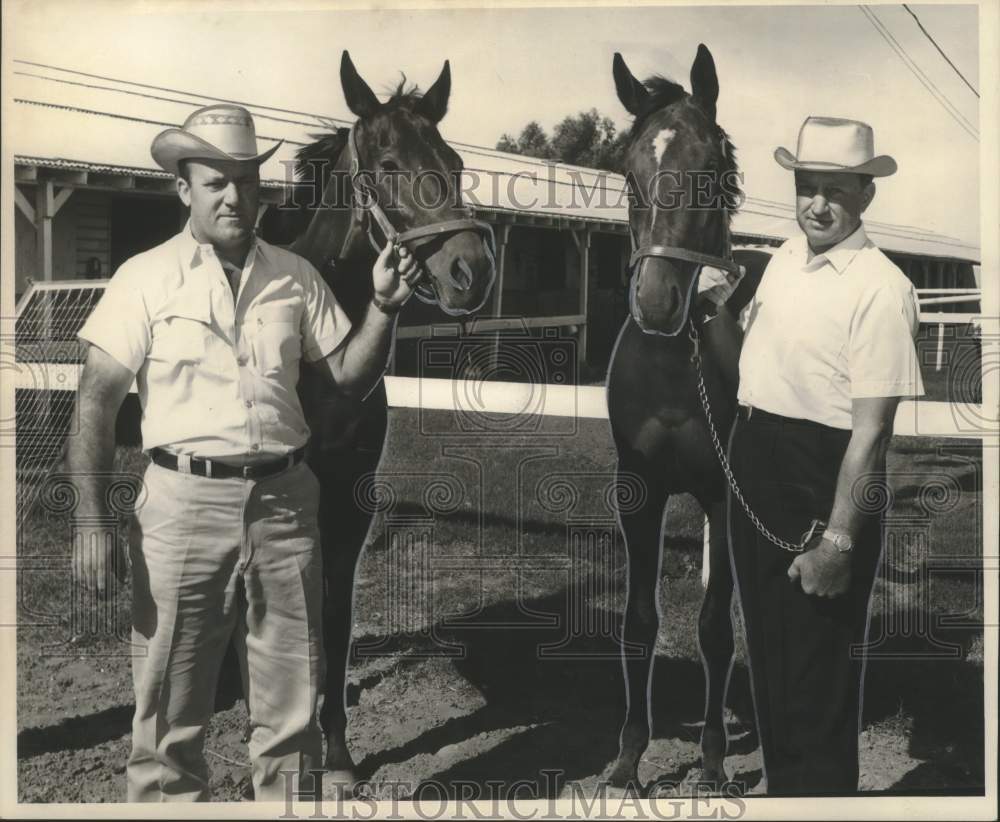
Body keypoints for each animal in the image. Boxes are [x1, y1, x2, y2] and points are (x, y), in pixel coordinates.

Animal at [274, 51, 496, 792]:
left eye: (455, 162)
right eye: (389, 163)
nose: (470, 270)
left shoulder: (350, 502)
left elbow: (336, 620)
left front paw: (338, 757)